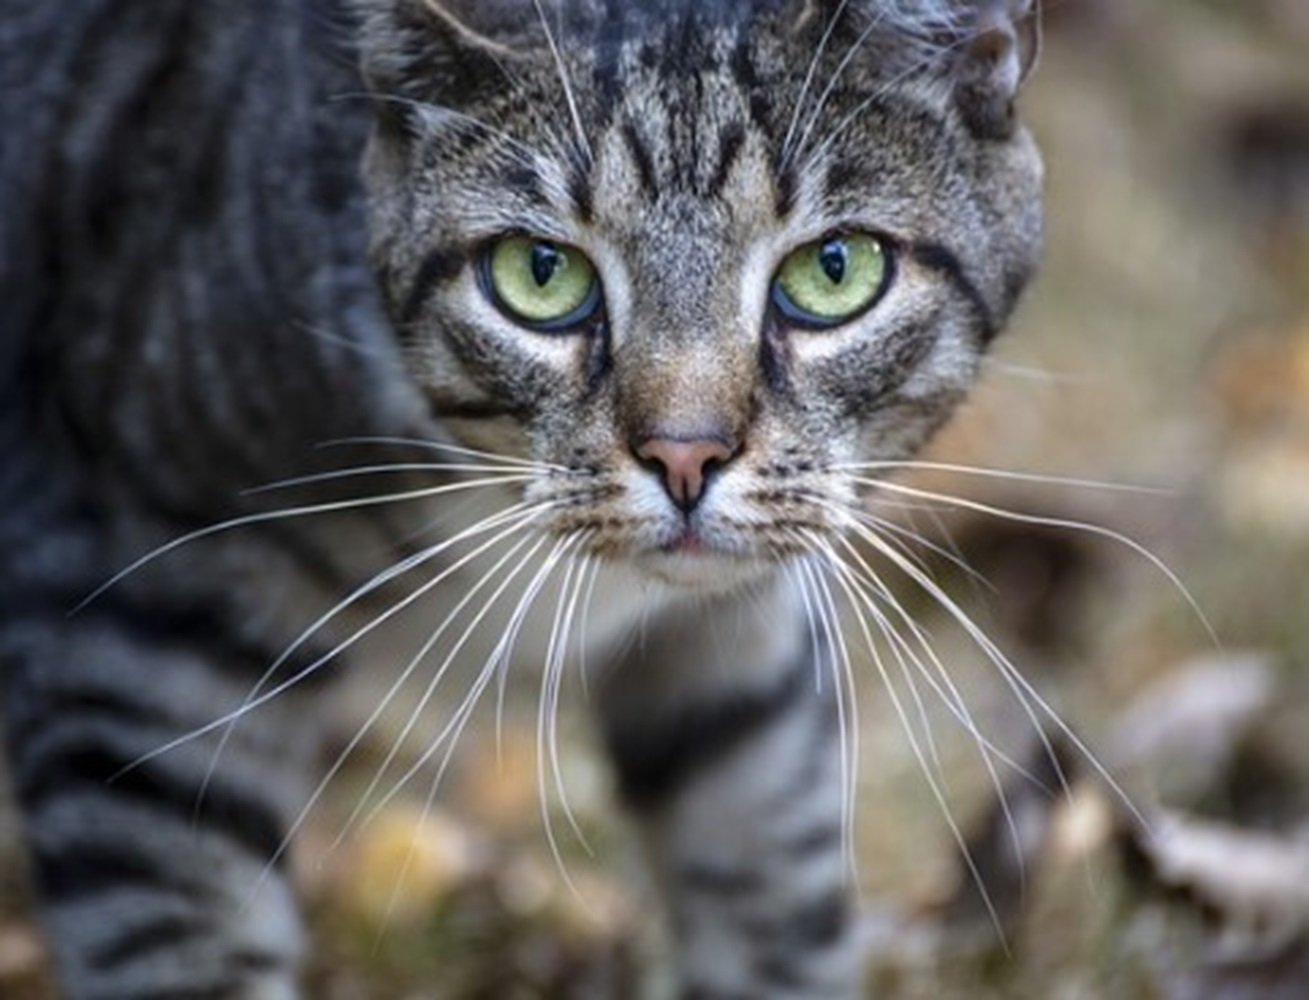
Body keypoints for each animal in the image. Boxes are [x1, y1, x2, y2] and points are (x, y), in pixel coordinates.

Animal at [0, 0, 1041, 994]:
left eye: (834, 269)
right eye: (540, 274)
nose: (684, 455)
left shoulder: (738, 662)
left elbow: (773, 889)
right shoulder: (143, 621)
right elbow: (179, 939)